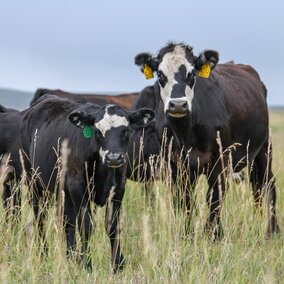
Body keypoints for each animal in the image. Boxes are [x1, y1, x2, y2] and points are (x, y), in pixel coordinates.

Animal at [20, 96, 154, 272]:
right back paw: (44, 255)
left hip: (63, 191)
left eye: (125, 130)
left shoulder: (118, 188)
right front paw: (87, 264)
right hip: (35, 184)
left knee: (68, 223)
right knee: (40, 219)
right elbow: (86, 226)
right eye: (97, 132)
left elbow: (113, 226)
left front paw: (117, 264)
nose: (113, 157)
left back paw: (71, 258)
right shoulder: (78, 186)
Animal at [135, 41, 280, 239]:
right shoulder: (175, 166)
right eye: (160, 74)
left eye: (191, 73)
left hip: (264, 150)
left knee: (268, 186)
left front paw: (213, 234)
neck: (184, 133)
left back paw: (272, 231)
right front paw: (187, 234)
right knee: (257, 189)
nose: (178, 105)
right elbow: (184, 200)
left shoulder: (220, 161)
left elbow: (214, 197)